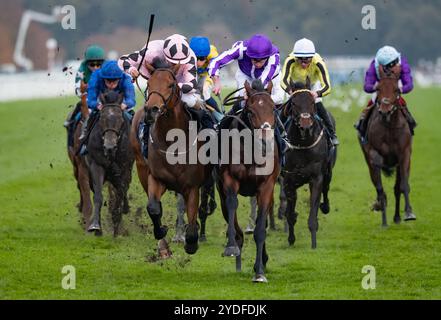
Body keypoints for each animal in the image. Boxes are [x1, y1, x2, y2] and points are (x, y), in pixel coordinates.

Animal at [85, 91, 133, 236]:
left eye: (120, 120)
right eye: (101, 119)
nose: (109, 147)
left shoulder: (125, 167)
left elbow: (121, 191)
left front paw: (116, 220)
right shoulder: (96, 165)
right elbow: (98, 196)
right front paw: (96, 226)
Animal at [130, 58, 212, 255]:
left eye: (170, 84)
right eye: (149, 83)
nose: (151, 110)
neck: (172, 142)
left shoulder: (192, 185)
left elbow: (192, 216)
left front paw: (191, 242)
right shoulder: (156, 178)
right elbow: (153, 207)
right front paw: (161, 231)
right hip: (141, 168)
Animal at [216, 79, 278, 282]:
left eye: (273, 108)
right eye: (250, 111)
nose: (266, 143)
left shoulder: (266, 186)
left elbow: (260, 228)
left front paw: (259, 272)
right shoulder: (229, 179)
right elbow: (232, 205)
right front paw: (231, 247)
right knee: (228, 211)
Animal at [282, 80, 336, 250]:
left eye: (312, 102)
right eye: (293, 103)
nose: (305, 124)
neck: (303, 143)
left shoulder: (316, 178)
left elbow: (313, 212)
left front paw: (313, 243)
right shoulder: (288, 180)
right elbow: (290, 214)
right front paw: (291, 239)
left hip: (328, 171)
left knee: (326, 189)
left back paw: (325, 207)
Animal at [358, 66, 416, 226]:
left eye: (396, 89)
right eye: (378, 88)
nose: (385, 111)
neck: (389, 126)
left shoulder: (404, 154)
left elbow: (403, 186)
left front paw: (409, 213)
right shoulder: (373, 154)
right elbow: (380, 188)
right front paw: (383, 218)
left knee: (396, 188)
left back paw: (396, 217)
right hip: (368, 160)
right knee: (378, 185)